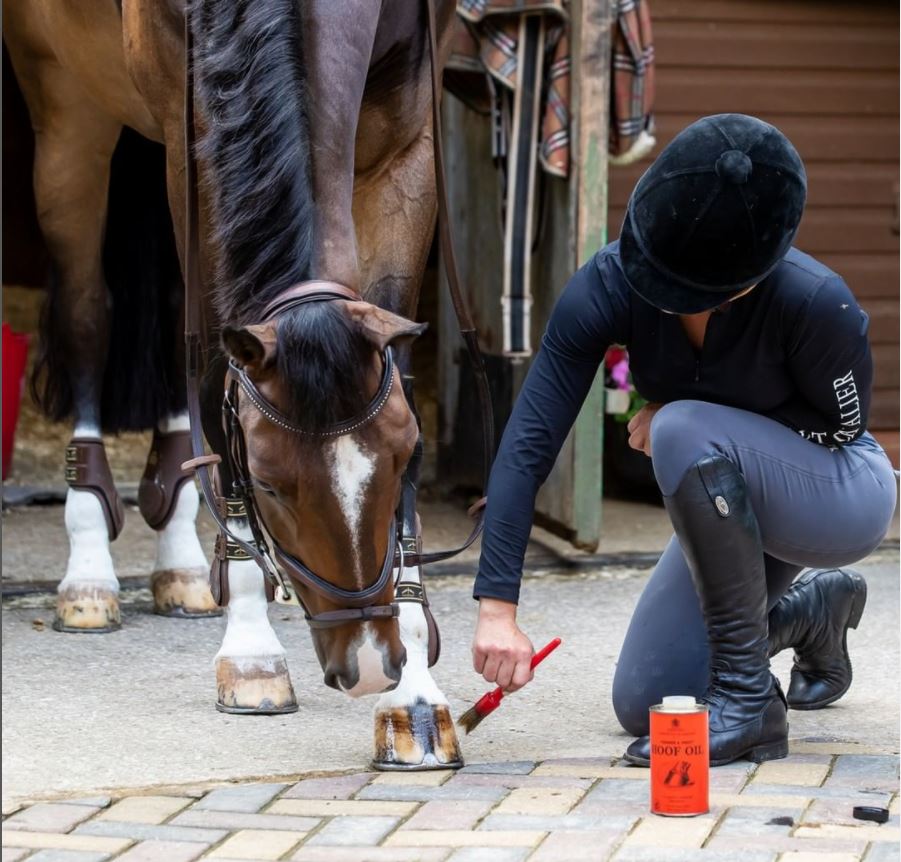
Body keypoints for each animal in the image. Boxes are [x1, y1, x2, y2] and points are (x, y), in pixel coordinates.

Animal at [7, 0, 468, 768]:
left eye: (406, 457)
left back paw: (183, 568)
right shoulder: (185, 145)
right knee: (86, 313)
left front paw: (415, 699)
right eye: (271, 484)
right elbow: (208, 367)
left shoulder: (412, 137)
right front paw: (252, 652)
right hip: (66, 104)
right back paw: (90, 571)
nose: (370, 664)